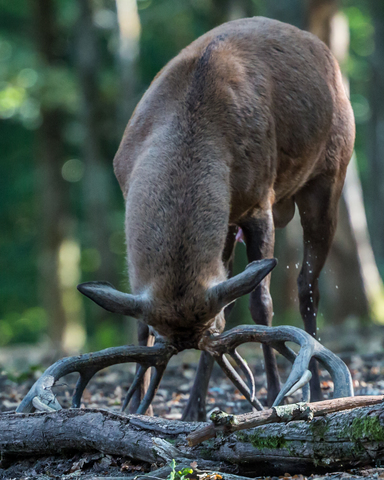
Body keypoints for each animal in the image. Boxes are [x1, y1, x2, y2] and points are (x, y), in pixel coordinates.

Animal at [18, 16, 354, 418]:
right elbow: (145, 322)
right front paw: (139, 408)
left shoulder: (260, 201)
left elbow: (262, 304)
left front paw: (276, 393)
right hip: (231, 225)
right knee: (240, 286)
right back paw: (194, 407)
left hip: (330, 175)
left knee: (306, 284)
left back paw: (317, 393)